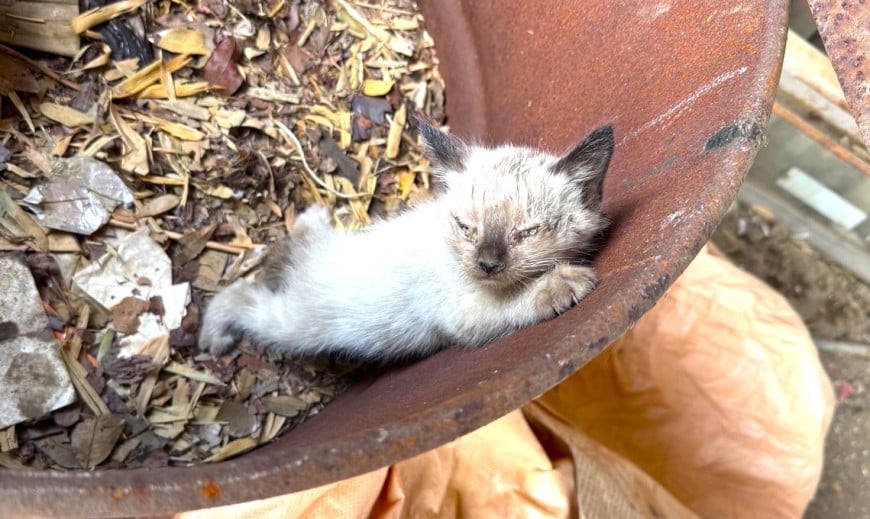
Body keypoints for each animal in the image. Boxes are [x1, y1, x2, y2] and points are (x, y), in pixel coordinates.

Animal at [200, 122, 616, 364]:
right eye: (466, 228)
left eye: (526, 233)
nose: (487, 264)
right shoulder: (463, 315)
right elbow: (516, 301)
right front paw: (562, 282)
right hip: (294, 325)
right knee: (241, 297)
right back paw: (213, 336)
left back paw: (311, 220)